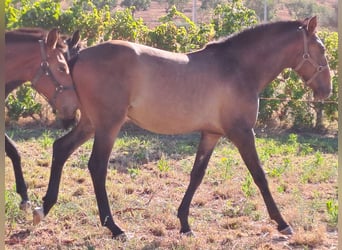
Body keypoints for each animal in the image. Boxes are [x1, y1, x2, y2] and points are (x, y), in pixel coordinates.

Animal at [33, 16, 330, 239]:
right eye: (322, 50)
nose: (327, 90)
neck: (238, 67)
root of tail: (79, 55)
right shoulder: (242, 133)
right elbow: (260, 176)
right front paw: (282, 223)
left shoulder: (211, 134)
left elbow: (196, 175)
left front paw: (185, 224)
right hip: (108, 125)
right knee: (97, 166)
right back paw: (115, 227)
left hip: (91, 123)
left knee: (61, 148)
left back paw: (44, 207)